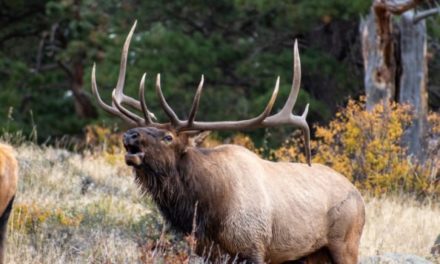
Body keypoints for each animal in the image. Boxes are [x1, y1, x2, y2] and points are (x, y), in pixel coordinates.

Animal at [91, 21, 366, 262]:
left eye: (168, 137)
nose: (130, 135)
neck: (207, 210)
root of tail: (360, 196)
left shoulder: (253, 246)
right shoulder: (208, 252)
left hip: (346, 241)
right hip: (310, 254)